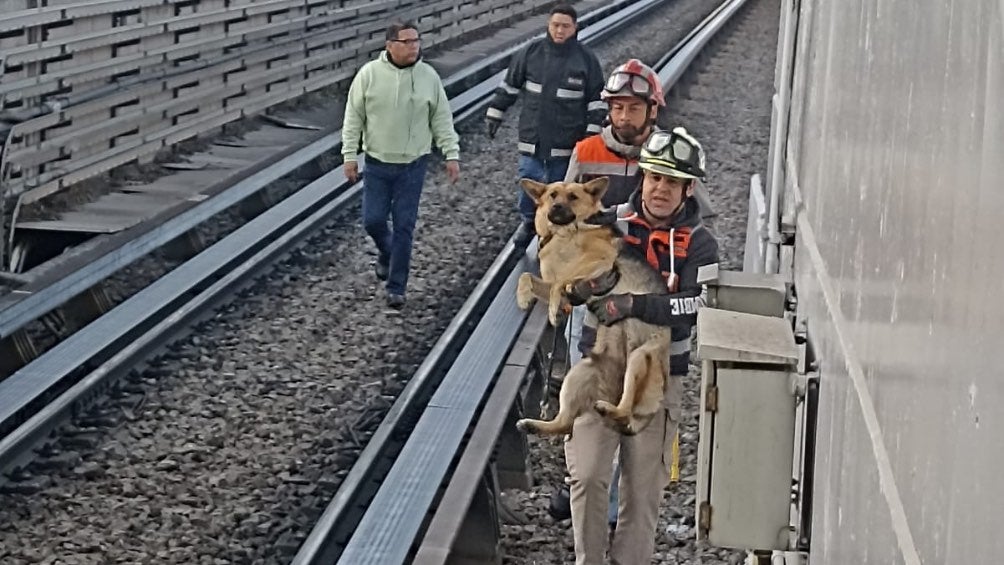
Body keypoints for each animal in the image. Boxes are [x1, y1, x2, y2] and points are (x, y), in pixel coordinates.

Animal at [514, 178, 670, 435]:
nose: (556, 207)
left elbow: (560, 281)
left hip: (639, 358)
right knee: (564, 423)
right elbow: (527, 276)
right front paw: (525, 297)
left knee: (624, 410)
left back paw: (609, 408)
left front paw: (554, 310)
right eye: (552, 195)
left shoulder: (599, 261)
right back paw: (532, 425)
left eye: (573, 197)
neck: (563, 232)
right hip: (578, 374)